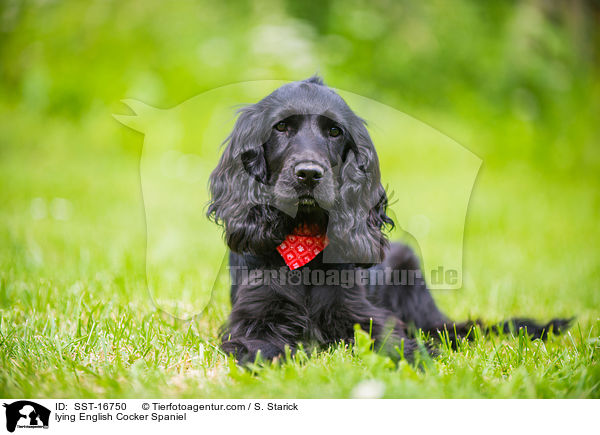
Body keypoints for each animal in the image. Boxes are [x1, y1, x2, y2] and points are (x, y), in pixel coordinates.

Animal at [209, 76, 568, 364]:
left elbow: (389, 340)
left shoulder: (361, 313)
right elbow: (260, 345)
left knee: (455, 328)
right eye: (281, 127)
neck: (304, 238)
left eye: (335, 131)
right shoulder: (256, 315)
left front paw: (418, 359)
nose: (309, 174)